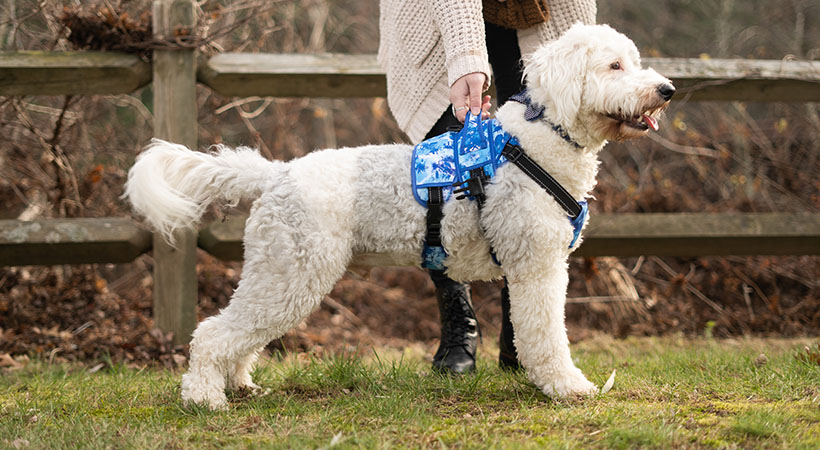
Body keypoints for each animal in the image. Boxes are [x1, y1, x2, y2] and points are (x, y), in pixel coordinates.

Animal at [123, 25, 672, 412]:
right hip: (289, 273)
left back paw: (239, 385)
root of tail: (275, 174)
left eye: (635, 61)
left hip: (275, 272)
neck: (540, 142)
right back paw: (203, 397)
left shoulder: (533, 264)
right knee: (214, 333)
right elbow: (547, 335)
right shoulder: (537, 266)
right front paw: (567, 387)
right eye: (615, 65)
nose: (666, 89)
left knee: (239, 336)